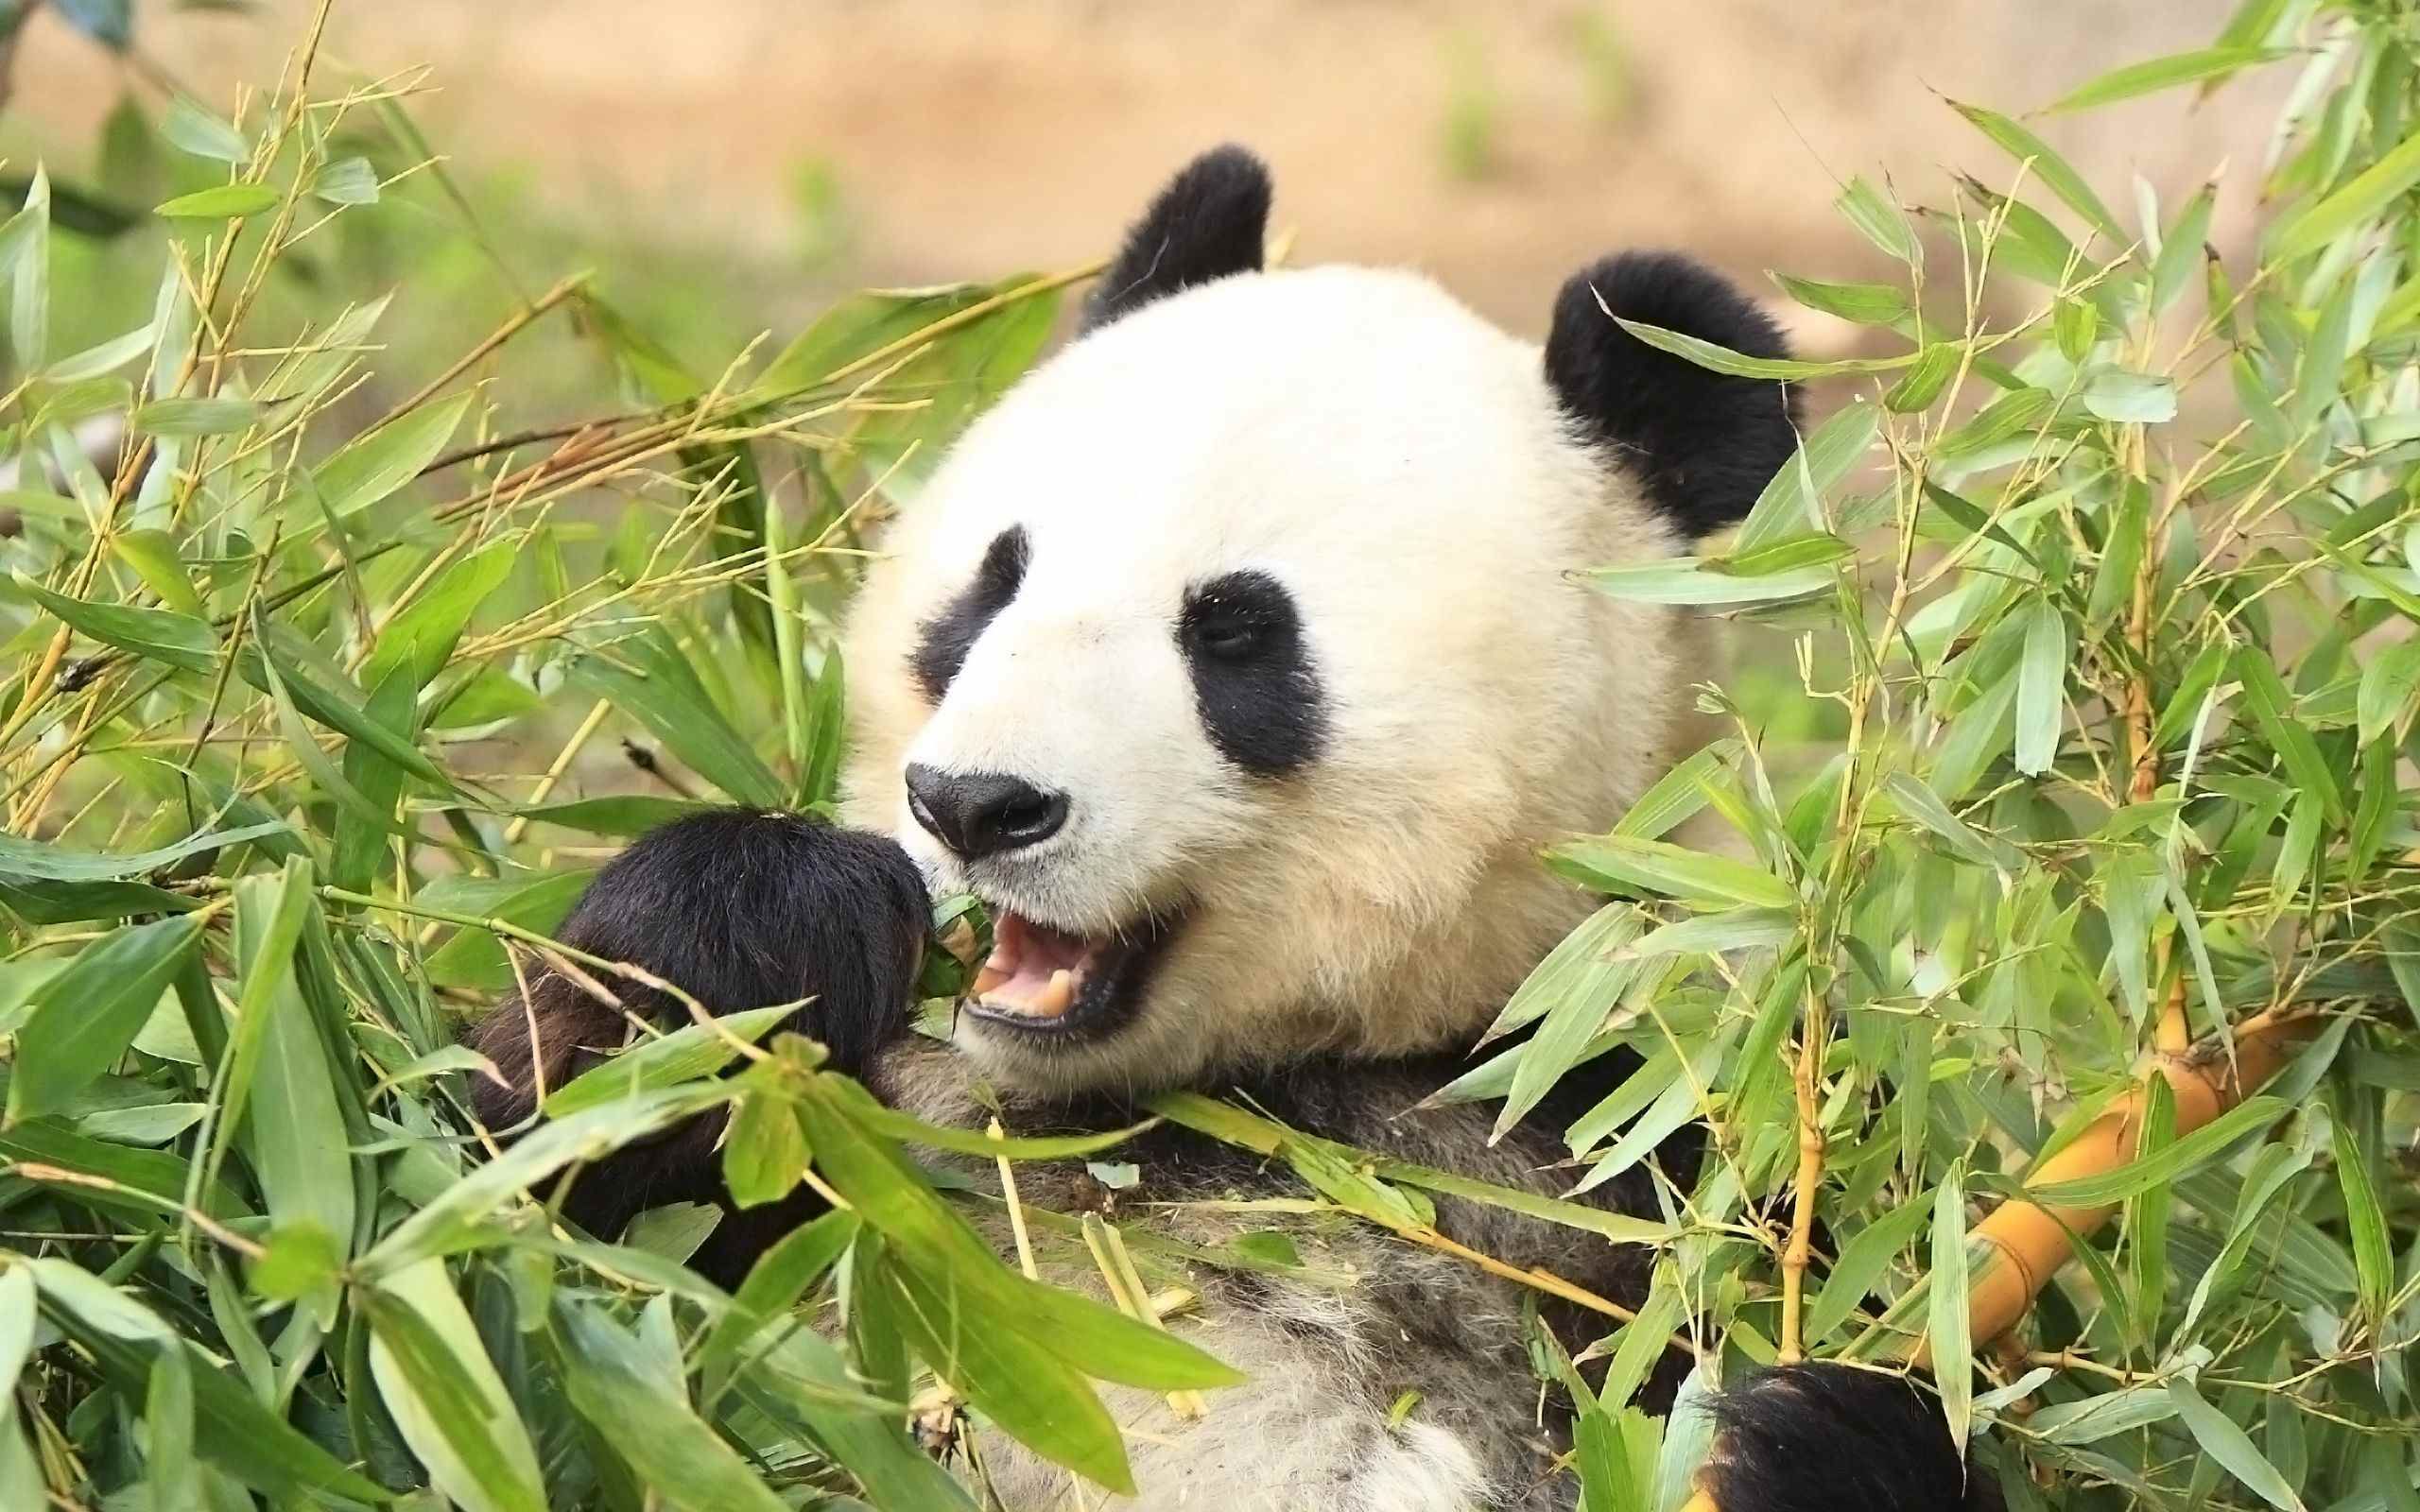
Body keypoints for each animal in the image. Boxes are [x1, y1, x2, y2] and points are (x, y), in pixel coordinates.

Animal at [467, 144, 1984, 1509]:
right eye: (993, 585)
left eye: (1238, 632)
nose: (975, 805)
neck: (1242, 1106)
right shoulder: (867, 1156)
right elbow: (507, 1245)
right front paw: (759, 926)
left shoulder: (1646, 1137)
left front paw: (1818, 1437)